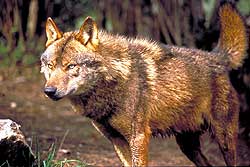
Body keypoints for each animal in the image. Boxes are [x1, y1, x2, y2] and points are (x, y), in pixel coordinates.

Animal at [40, 2, 247, 167]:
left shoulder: (138, 138)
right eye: (50, 65)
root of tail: (216, 57)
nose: (49, 91)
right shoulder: (117, 140)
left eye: (71, 66)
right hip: (188, 146)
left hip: (224, 139)